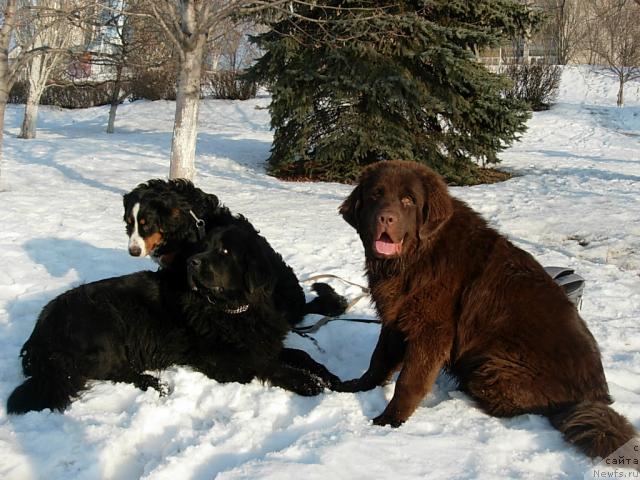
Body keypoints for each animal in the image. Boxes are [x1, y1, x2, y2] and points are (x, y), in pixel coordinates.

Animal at [6, 223, 340, 414]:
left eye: (225, 251)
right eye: (202, 248)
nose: (193, 262)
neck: (232, 310)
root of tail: (39, 334)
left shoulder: (262, 340)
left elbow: (298, 354)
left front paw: (328, 375)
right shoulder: (222, 360)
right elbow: (268, 365)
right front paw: (306, 382)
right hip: (104, 321)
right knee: (108, 369)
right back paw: (153, 383)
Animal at [338, 160, 636, 458]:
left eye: (408, 200)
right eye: (376, 195)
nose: (385, 218)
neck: (415, 258)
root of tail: (594, 398)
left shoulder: (431, 330)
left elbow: (409, 380)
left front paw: (390, 420)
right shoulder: (396, 318)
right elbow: (379, 360)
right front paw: (356, 387)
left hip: (492, 366)